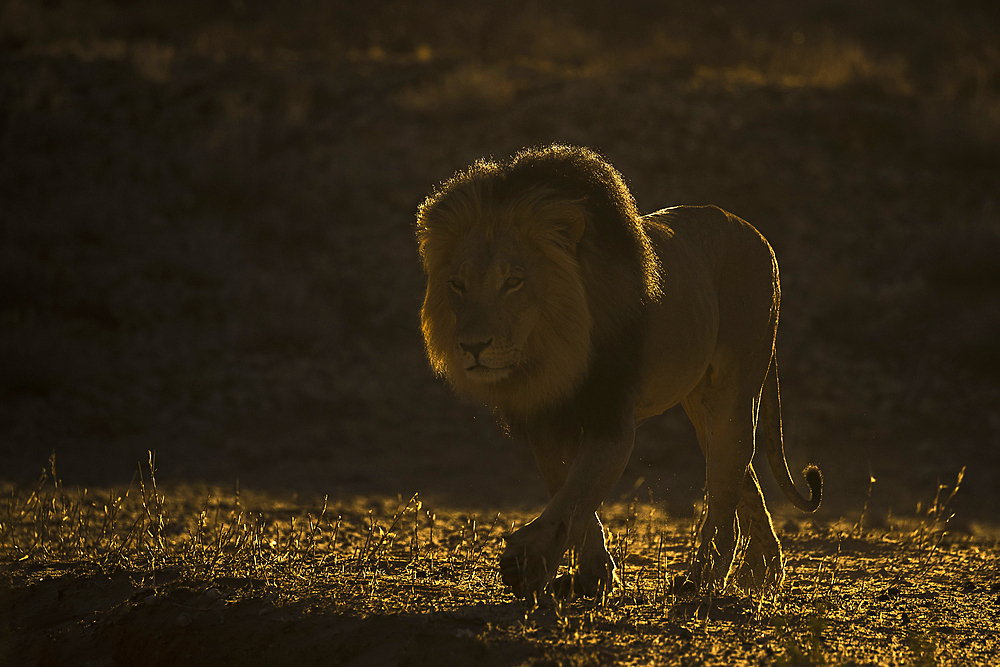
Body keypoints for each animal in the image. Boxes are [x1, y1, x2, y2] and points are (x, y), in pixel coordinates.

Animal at [414, 144, 820, 596]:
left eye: (513, 282)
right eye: (457, 285)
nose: (472, 346)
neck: (553, 352)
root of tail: (757, 234)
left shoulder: (612, 417)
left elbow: (577, 492)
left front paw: (528, 562)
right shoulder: (548, 419)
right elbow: (568, 490)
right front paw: (592, 573)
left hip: (736, 384)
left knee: (725, 478)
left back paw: (704, 576)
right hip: (701, 401)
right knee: (738, 472)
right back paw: (760, 572)